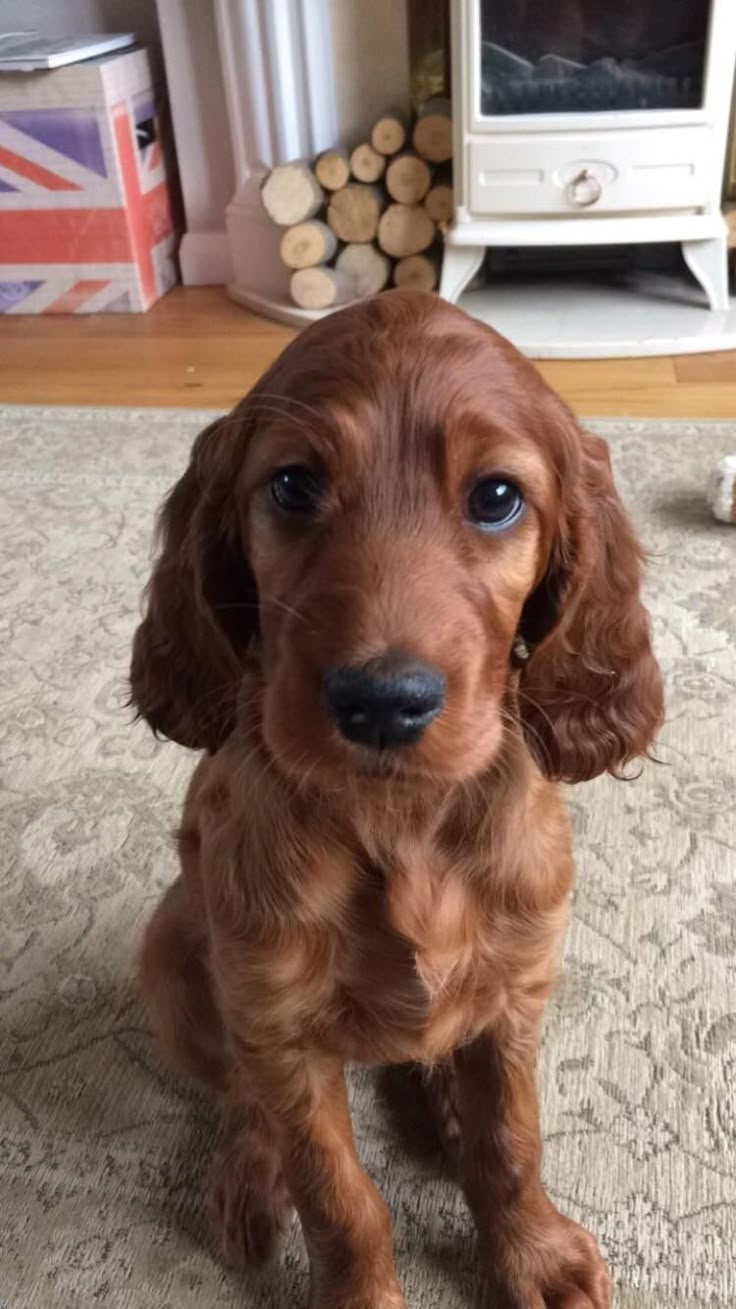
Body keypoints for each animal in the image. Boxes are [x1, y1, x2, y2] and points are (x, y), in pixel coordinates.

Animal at [128, 289, 662, 1309]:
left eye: (496, 497)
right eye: (293, 486)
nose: (382, 702)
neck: (402, 818)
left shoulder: (517, 983)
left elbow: (512, 1141)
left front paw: (532, 1254)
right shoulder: (279, 1018)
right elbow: (338, 1191)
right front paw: (359, 1287)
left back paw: (443, 1107)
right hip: (173, 955)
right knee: (242, 1097)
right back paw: (249, 1179)